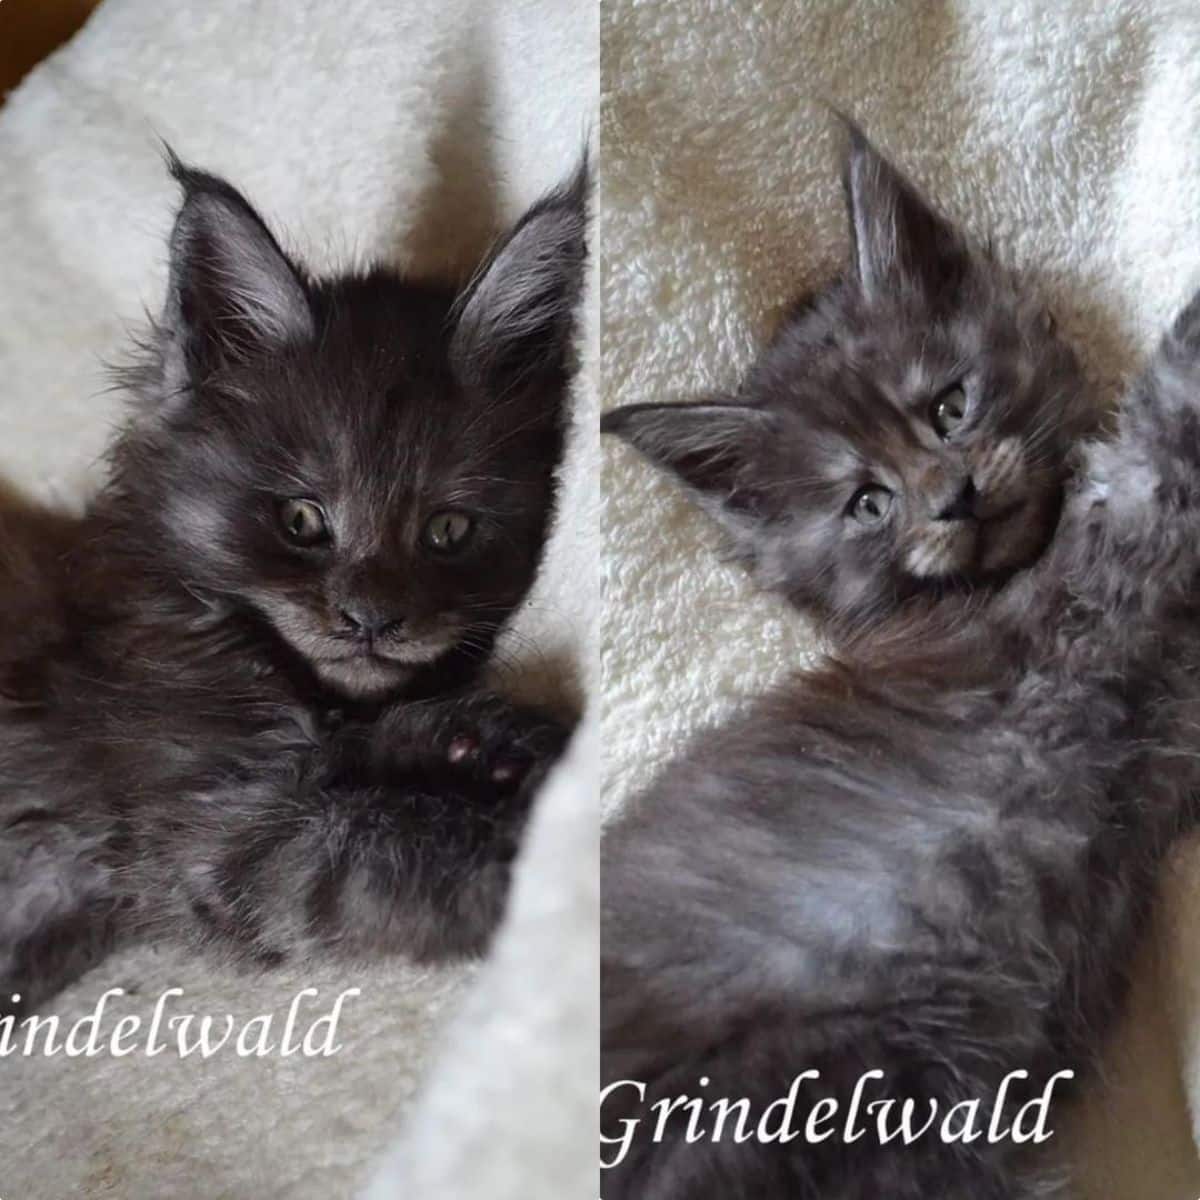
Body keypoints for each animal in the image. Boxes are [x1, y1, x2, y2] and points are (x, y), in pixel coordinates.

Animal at [0, 157, 585, 1012]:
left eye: (447, 530)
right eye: (302, 519)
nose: (372, 619)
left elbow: (380, 742)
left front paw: (495, 740)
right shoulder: (215, 842)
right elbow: (393, 838)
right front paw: (530, 845)